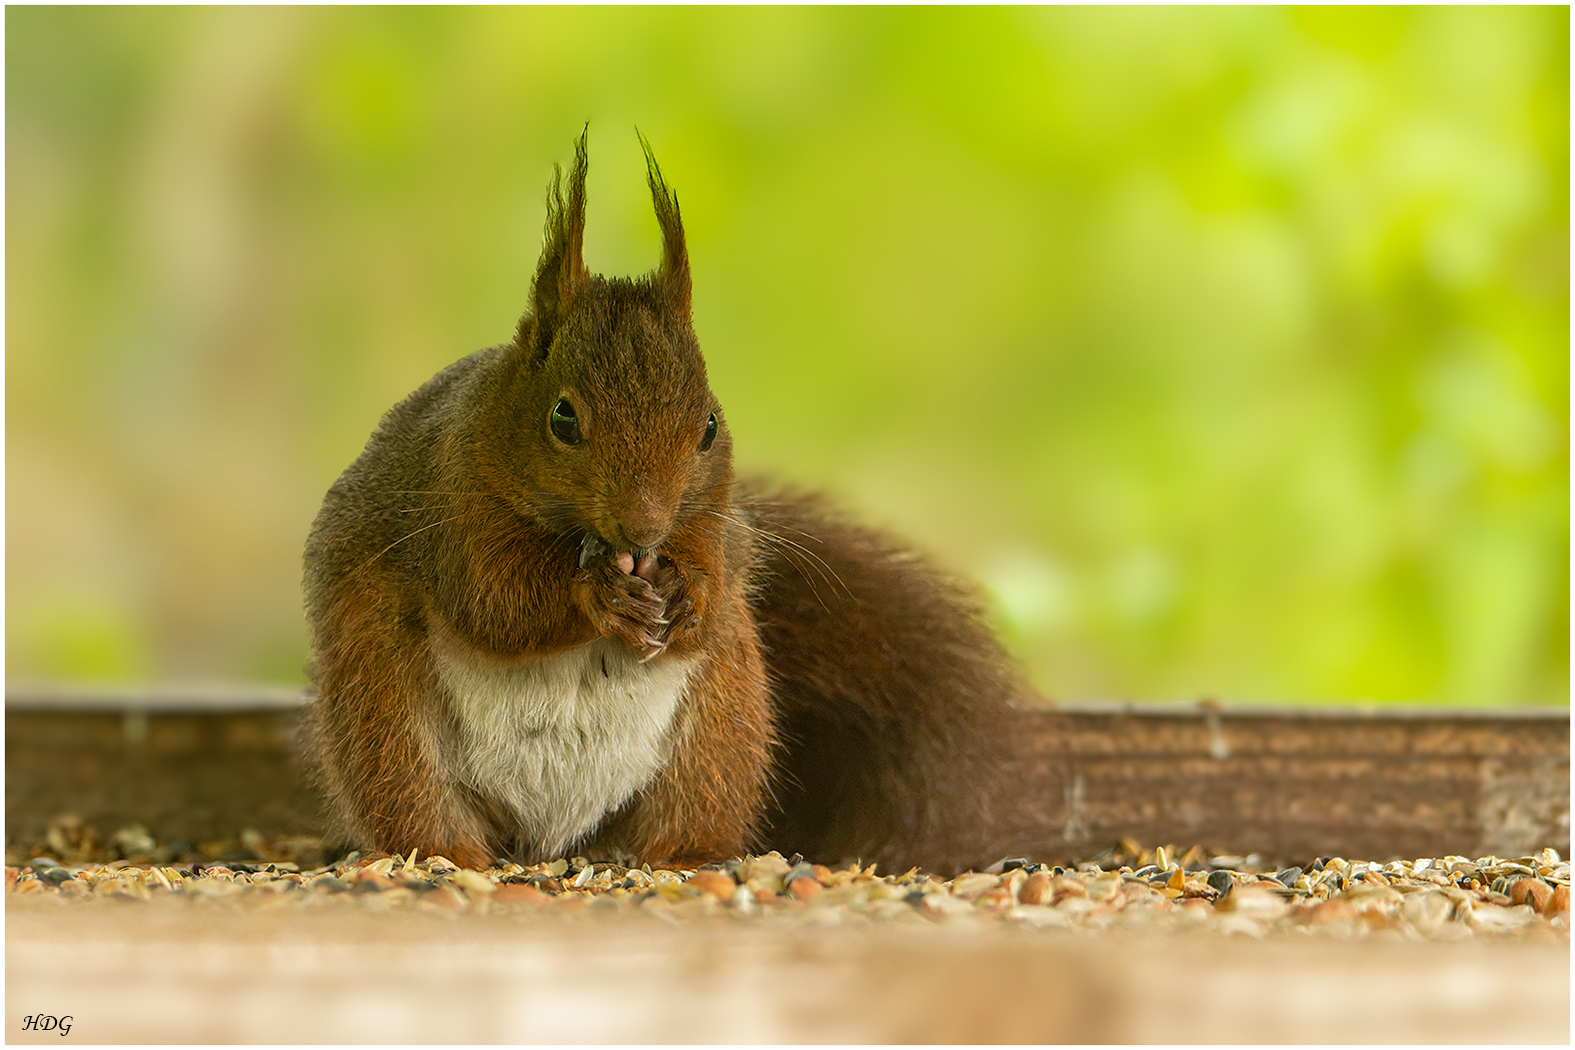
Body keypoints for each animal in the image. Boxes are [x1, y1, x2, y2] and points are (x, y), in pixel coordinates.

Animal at [302, 127, 1026, 875]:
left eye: (708, 425)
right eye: (562, 418)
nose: (646, 527)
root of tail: (550, 843)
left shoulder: (714, 523)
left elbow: (711, 583)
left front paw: (688, 596)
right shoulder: (451, 505)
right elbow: (493, 600)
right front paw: (593, 595)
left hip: (719, 728)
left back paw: (686, 857)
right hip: (384, 712)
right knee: (417, 800)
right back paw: (448, 856)